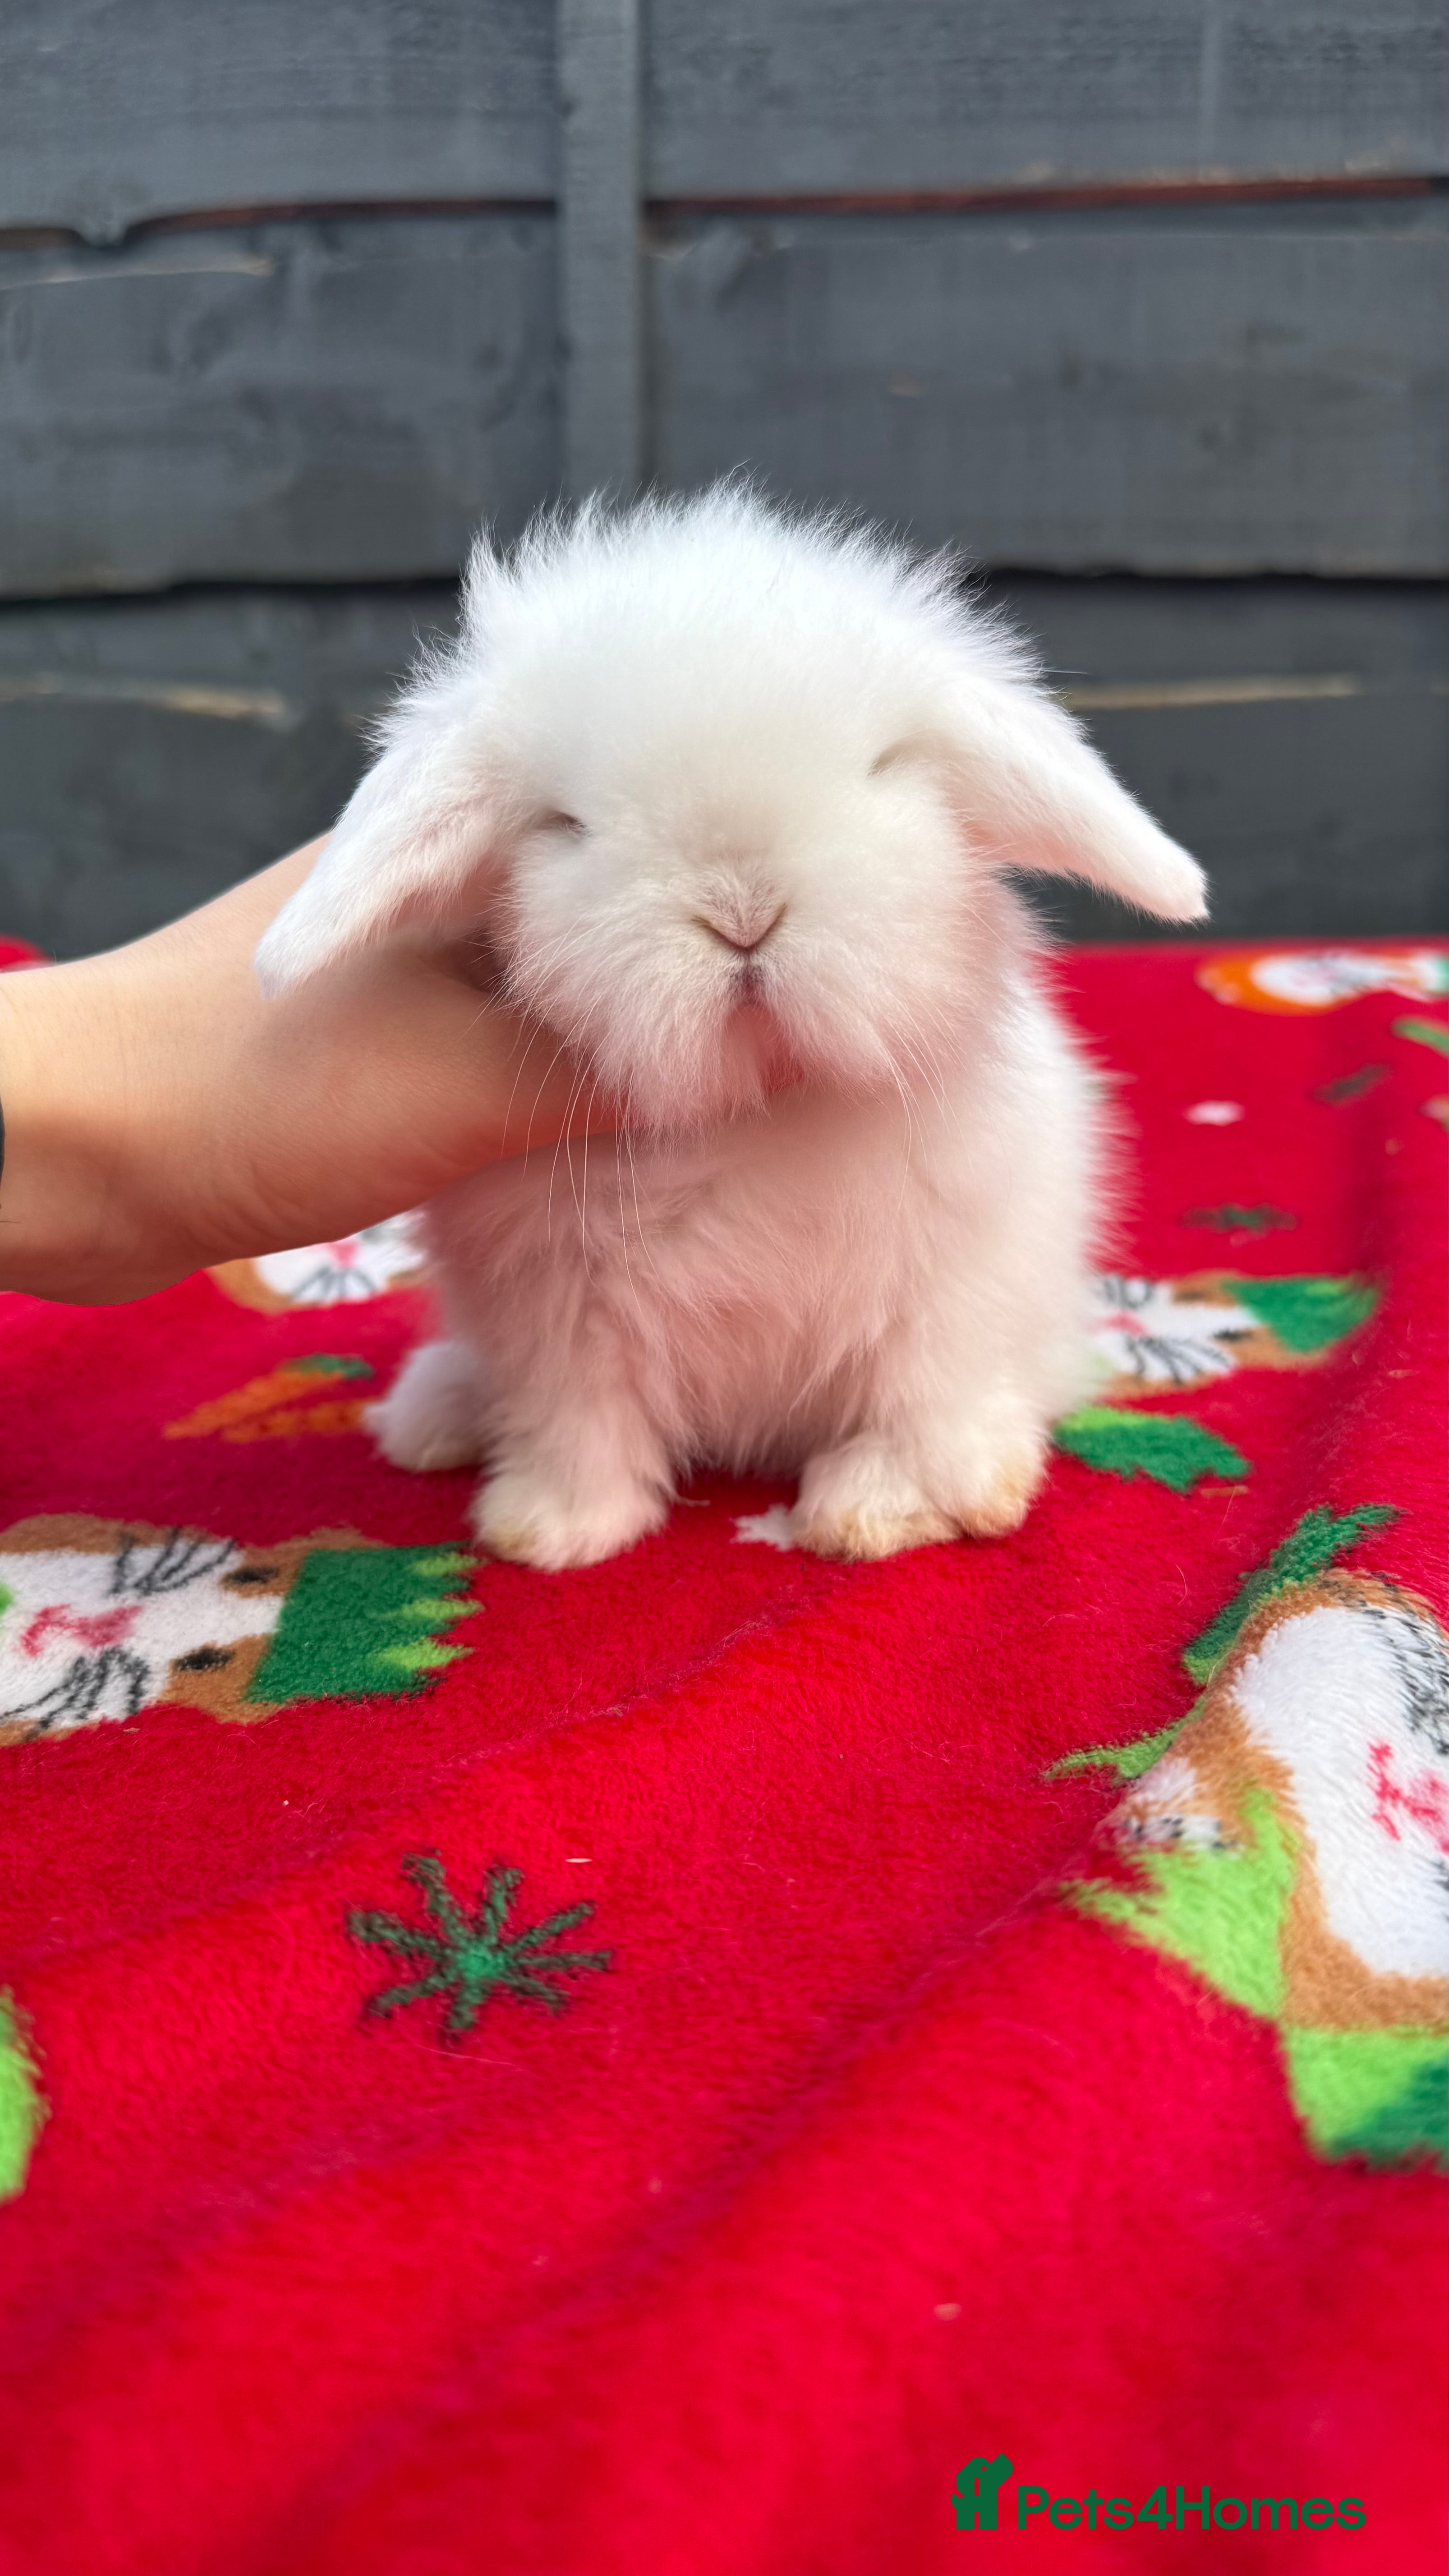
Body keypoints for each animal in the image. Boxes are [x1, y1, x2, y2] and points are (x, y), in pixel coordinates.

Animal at [256, 486, 1207, 1569]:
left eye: (879, 769)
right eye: (564, 824)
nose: (741, 911)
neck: (754, 1108)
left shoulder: (955, 1282)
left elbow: (924, 1398)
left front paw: (883, 1510)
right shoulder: (557, 1311)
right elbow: (578, 1420)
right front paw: (553, 1530)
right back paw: (432, 1419)